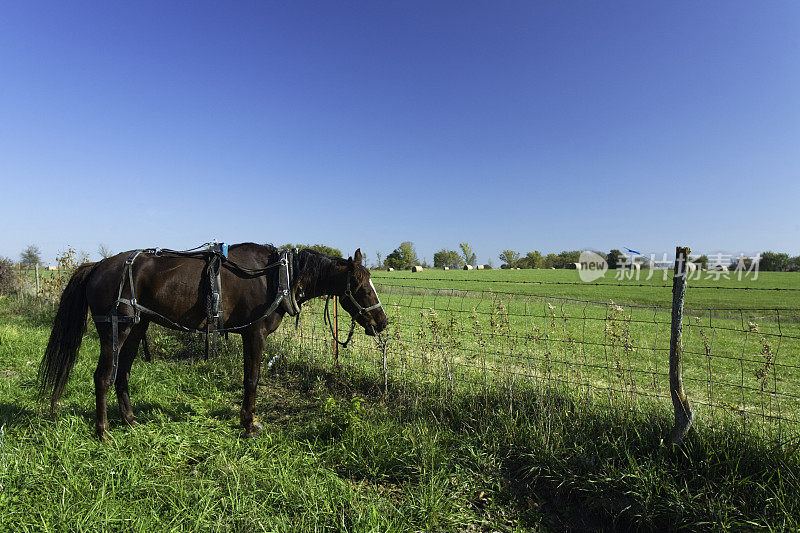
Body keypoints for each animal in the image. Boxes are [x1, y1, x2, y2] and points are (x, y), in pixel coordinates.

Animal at [38, 243, 388, 438]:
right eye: (360, 285)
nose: (382, 322)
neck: (277, 276)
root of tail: (98, 266)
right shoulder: (254, 333)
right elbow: (252, 380)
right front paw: (249, 424)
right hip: (115, 329)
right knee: (103, 377)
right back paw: (104, 431)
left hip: (136, 328)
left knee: (122, 374)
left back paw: (130, 421)